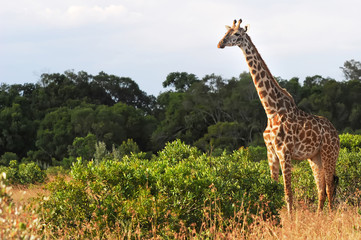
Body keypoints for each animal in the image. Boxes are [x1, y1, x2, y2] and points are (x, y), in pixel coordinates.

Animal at [218, 19, 338, 213]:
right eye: (226, 32)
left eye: (236, 34)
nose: (220, 43)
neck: (271, 109)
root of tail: (337, 133)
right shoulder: (270, 151)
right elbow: (272, 188)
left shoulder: (284, 151)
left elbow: (288, 193)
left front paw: (289, 219)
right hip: (315, 157)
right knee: (321, 188)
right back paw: (320, 215)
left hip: (329, 153)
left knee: (329, 186)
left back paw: (330, 216)